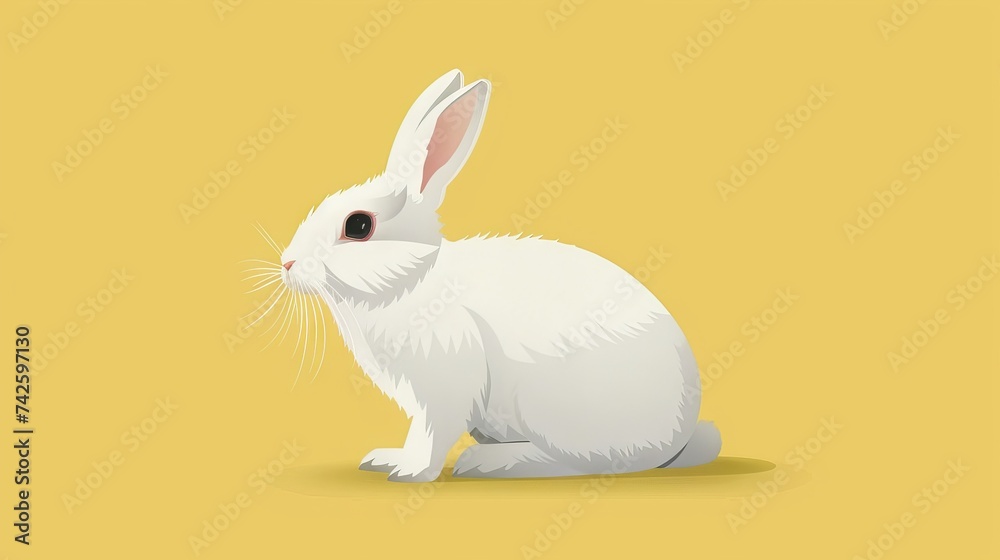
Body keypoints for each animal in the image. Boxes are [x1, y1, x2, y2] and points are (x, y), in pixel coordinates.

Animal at [277, 69, 721, 482]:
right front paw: (386, 459)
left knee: (584, 463)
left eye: (358, 226)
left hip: (553, 410)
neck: (413, 281)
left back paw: (488, 462)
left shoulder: (445, 386)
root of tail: (678, 438)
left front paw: (410, 472)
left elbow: (431, 435)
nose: (287, 264)